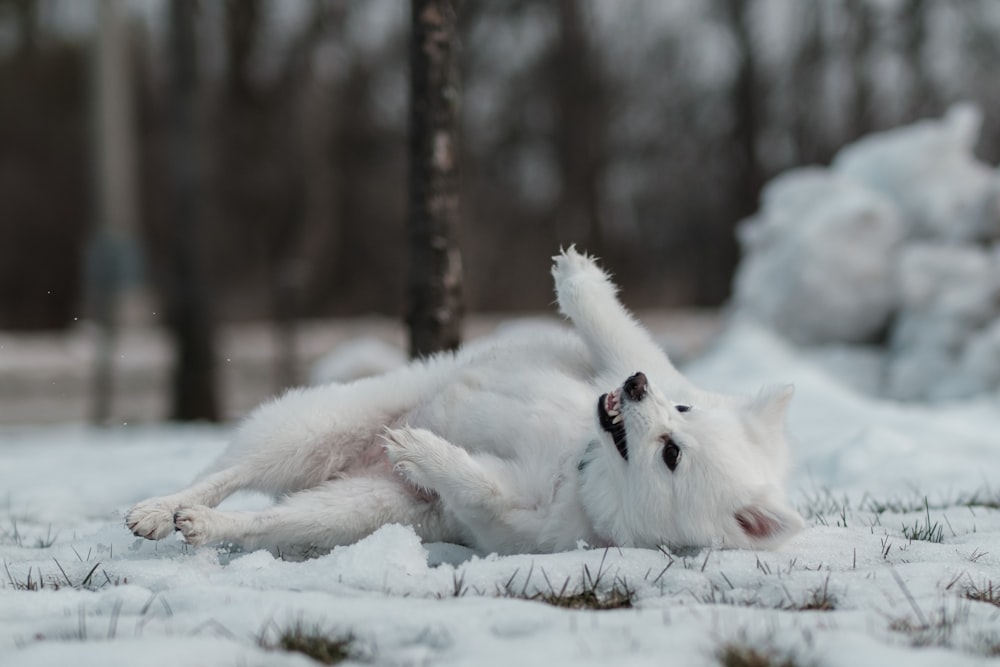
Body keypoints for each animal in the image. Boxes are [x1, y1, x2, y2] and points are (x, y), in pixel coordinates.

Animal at [127, 248, 804, 556]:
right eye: (681, 413)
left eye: (672, 454)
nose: (636, 389)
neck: (580, 461)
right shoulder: (625, 361)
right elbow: (618, 328)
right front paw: (576, 274)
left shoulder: (515, 517)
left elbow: (477, 483)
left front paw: (421, 449)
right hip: (313, 427)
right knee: (221, 475)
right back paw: (159, 510)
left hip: (362, 509)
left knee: (266, 518)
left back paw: (202, 525)